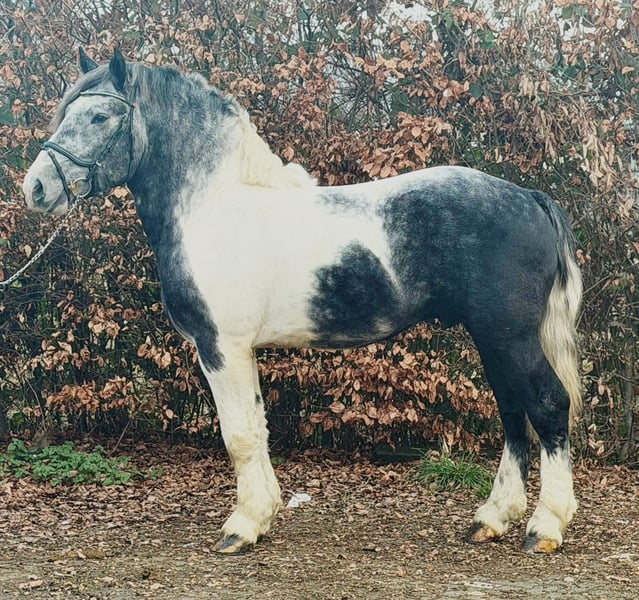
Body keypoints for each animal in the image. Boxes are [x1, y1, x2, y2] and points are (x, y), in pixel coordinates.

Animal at [22, 49, 582, 555]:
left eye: (99, 116)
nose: (37, 187)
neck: (212, 207)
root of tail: (530, 198)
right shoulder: (238, 351)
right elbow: (256, 427)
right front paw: (262, 515)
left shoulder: (220, 347)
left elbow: (238, 434)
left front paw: (240, 528)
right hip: (492, 338)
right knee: (512, 414)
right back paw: (492, 519)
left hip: (509, 336)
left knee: (549, 405)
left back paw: (545, 527)